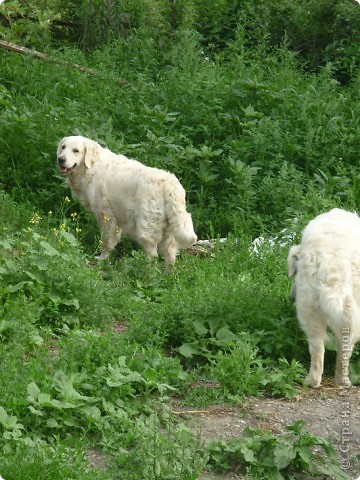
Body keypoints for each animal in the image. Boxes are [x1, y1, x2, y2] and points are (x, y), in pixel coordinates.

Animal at [57, 136, 197, 270]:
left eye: (76, 150)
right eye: (63, 147)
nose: (60, 159)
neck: (92, 166)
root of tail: (170, 184)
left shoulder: (105, 215)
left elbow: (106, 240)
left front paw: (102, 258)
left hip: (146, 228)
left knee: (153, 256)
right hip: (168, 230)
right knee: (170, 255)